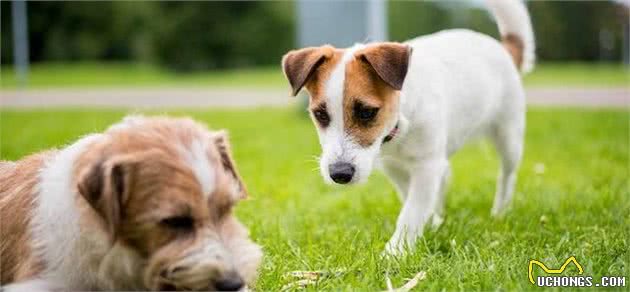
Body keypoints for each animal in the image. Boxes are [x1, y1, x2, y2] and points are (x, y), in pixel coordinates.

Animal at [284, 0, 536, 256]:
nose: (339, 174)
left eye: (367, 112)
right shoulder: (395, 167)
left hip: (509, 137)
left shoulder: (426, 166)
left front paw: (395, 251)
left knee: (507, 176)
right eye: (320, 114)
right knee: (446, 175)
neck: (400, 127)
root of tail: (503, 48)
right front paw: (429, 225)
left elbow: (411, 210)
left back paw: (500, 212)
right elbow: (411, 199)